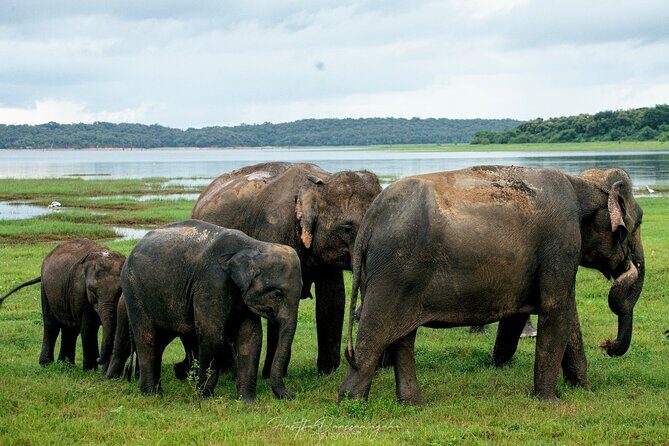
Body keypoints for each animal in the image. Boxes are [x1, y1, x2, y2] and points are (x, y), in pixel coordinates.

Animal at [0, 239, 125, 371]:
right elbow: (88, 327)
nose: (99, 358)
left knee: (70, 329)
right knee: (51, 325)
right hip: (45, 290)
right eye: (91, 290)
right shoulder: (80, 291)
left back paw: (66, 364)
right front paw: (90, 370)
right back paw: (47, 364)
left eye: (120, 290)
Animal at [122, 220, 302, 400]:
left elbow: (251, 336)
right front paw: (204, 398)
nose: (292, 394)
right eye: (278, 294)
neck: (254, 245)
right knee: (147, 338)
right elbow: (212, 335)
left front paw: (246, 401)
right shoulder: (212, 283)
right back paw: (152, 394)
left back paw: (157, 389)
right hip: (134, 291)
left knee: (160, 341)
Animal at [191, 162, 381, 376]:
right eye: (347, 228)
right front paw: (269, 375)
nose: (356, 361)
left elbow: (332, 296)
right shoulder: (274, 229)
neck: (320, 180)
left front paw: (327, 372)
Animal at [339, 166, 645, 404]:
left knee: (403, 337)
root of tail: (370, 219)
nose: (607, 345)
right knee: (375, 335)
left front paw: (583, 391)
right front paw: (550, 402)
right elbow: (556, 309)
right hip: (394, 271)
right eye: (638, 222)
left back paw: (413, 405)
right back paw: (352, 404)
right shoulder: (561, 240)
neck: (581, 183)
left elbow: (568, 316)